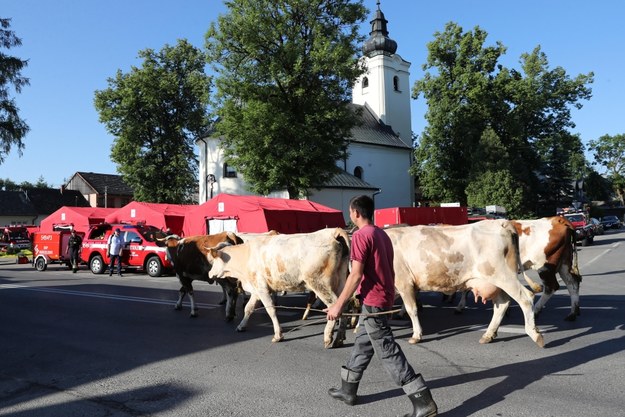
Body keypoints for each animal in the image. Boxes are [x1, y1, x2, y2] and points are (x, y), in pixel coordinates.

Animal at [206, 228, 348, 348]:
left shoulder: (262, 289)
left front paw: (278, 335)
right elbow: (248, 308)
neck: (246, 256)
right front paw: (241, 326)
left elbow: (271, 310)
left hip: (319, 283)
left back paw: (328, 337)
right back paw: (339, 338)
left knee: (333, 307)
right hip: (340, 282)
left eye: (213, 260)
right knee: (345, 305)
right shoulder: (257, 289)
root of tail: (332, 232)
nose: (209, 273)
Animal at [382, 219, 544, 346]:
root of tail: (501, 222)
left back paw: (534, 333)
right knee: (502, 303)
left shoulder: (404, 283)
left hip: (503, 276)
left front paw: (416, 335)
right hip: (494, 280)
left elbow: (412, 310)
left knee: (525, 298)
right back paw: (488, 335)